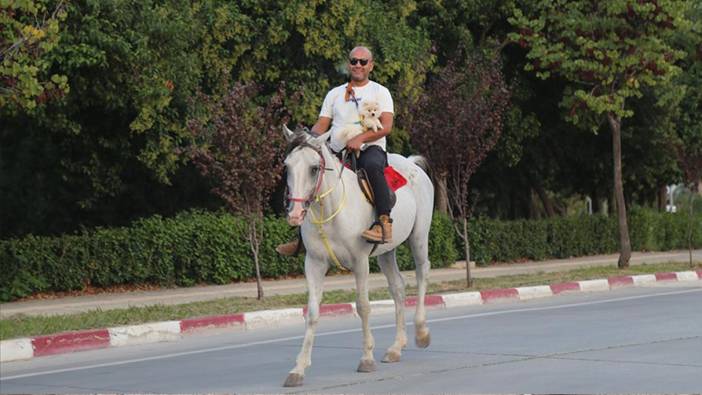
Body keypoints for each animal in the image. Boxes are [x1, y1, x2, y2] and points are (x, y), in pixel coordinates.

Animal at [280, 126, 434, 386]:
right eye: (287, 166)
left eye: (314, 168)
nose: (295, 213)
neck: (331, 210)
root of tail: (411, 164)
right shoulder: (314, 264)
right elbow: (312, 312)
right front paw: (298, 369)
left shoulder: (360, 262)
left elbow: (363, 306)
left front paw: (366, 359)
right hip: (386, 251)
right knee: (398, 287)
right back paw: (395, 348)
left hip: (419, 237)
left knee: (422, 273)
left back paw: (421, 333)